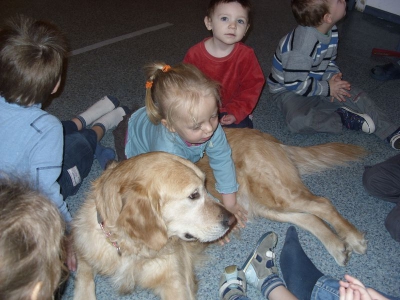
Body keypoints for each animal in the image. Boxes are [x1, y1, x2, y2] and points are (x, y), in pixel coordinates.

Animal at [72, 152, 234, 300]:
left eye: (205, 186)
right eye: (194, 195)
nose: (232, 219)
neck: (131, 248)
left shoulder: (175, 281)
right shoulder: (85, 247)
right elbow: (84, 275)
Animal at [197, 127, 368, 266]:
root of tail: (268, 137)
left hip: (275, 194)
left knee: (323, 204)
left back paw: (353, 238)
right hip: (263, 205)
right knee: (310, 217)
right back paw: (338, 248)